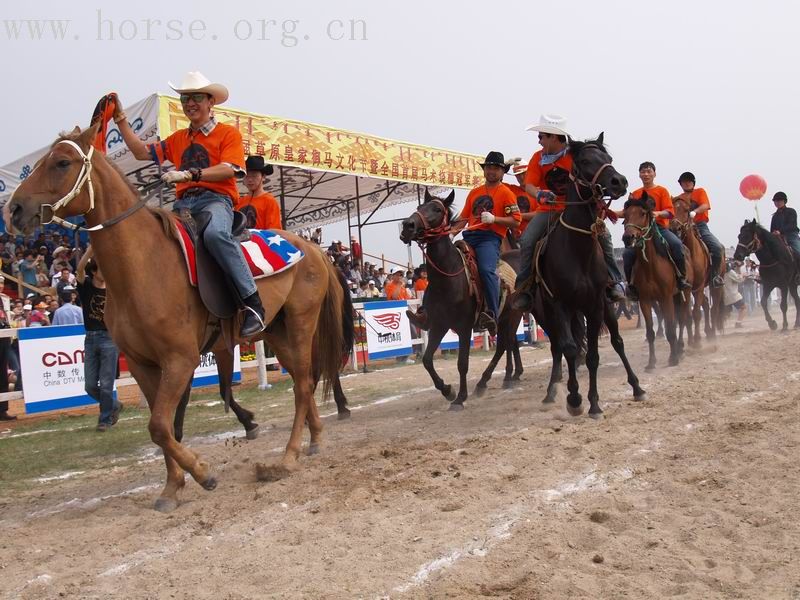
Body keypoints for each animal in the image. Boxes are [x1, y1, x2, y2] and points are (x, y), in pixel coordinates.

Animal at [3, 126, 350, 510]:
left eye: (62, 162)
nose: (14, 209)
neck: (144, 265)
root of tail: (314, 250)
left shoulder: (180, 359)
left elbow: (159, 424)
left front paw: (202, 472)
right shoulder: (142, 364)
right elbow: (163, 426)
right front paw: (172, 487)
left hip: (302, 324)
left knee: (303, 385)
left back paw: (288, 456)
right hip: (277, 332)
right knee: (304, 381)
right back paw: (314, 438)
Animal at [398, 190, 520, 410]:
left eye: (437, 210)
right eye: (420, 207)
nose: (407, 226)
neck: (447, 277)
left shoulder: (464, 327)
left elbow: (462, 363)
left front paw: (460, 397)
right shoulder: (439, 325)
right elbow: (427, 360)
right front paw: (448, 390)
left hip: (512, 316)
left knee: (505, 344)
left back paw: (493, 381)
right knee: (506, 345)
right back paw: (489, 381)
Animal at [528, 135, 648, 418]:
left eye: (608, 159)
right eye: (584, 161)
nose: (619, 182)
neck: (577, 249)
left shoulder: (594, 305)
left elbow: (593, 355)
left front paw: (593, 403)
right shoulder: (559, 305)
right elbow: (571, 349)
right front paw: (574, 399)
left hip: (606, 306)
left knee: (617, 341)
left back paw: (637, 387)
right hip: (552, 313)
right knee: (559, 348)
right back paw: (553, 392)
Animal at [624, 192, 680, 370]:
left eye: (642, 213)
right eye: (625, 215)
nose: (628, 237)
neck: (650, 268)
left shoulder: (666, 298)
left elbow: (670, 328)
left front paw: (673, 358)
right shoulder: (645, 301)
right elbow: (650, 333)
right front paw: (651, 362)